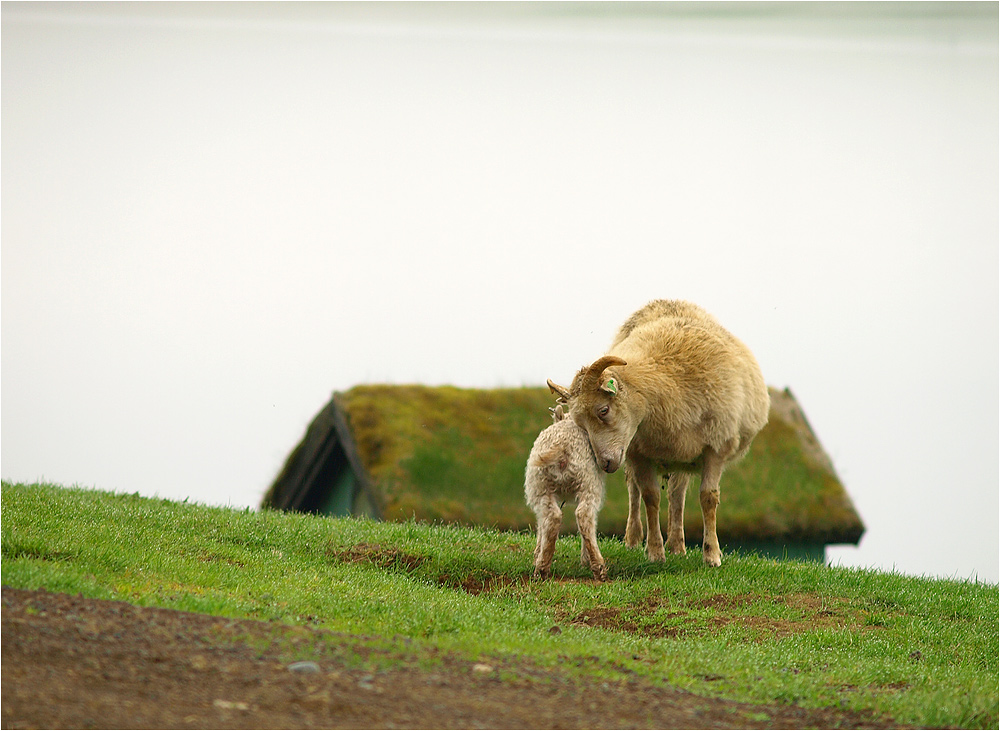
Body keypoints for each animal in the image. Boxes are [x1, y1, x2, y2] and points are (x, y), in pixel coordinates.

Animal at [524, 404, 608, 580]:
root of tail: (562, 445)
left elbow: (541, 525)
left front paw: (536, 554)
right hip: (588, 483)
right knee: (584, 517)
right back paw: (597, 566)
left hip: (542, 485)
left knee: (552, 518)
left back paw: (542, 567)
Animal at [552, 300, 768, 568]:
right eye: (580, 424)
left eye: (603, 410)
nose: (605, 463)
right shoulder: (639, 452)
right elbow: (650, 497)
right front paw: (655, 551)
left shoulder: (716, 447)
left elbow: (708, 498)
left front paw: (712, 555)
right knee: (634, 492)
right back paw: (634, 539)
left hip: (683, 456)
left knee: (677, 496)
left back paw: (677, 545)